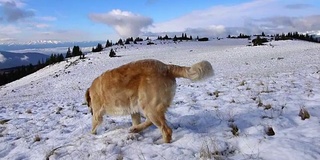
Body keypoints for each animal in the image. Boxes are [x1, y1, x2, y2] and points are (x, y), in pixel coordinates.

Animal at [86, 58, 214, 142]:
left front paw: (91, 135)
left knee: (166, 130)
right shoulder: (134, 111)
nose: (90, 111)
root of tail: (166, 67)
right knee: (151, 122)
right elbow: (136, 119)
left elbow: (93, 125)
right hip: (148, 106)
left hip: (149, 106)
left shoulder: (97, 113)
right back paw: (136, 129)